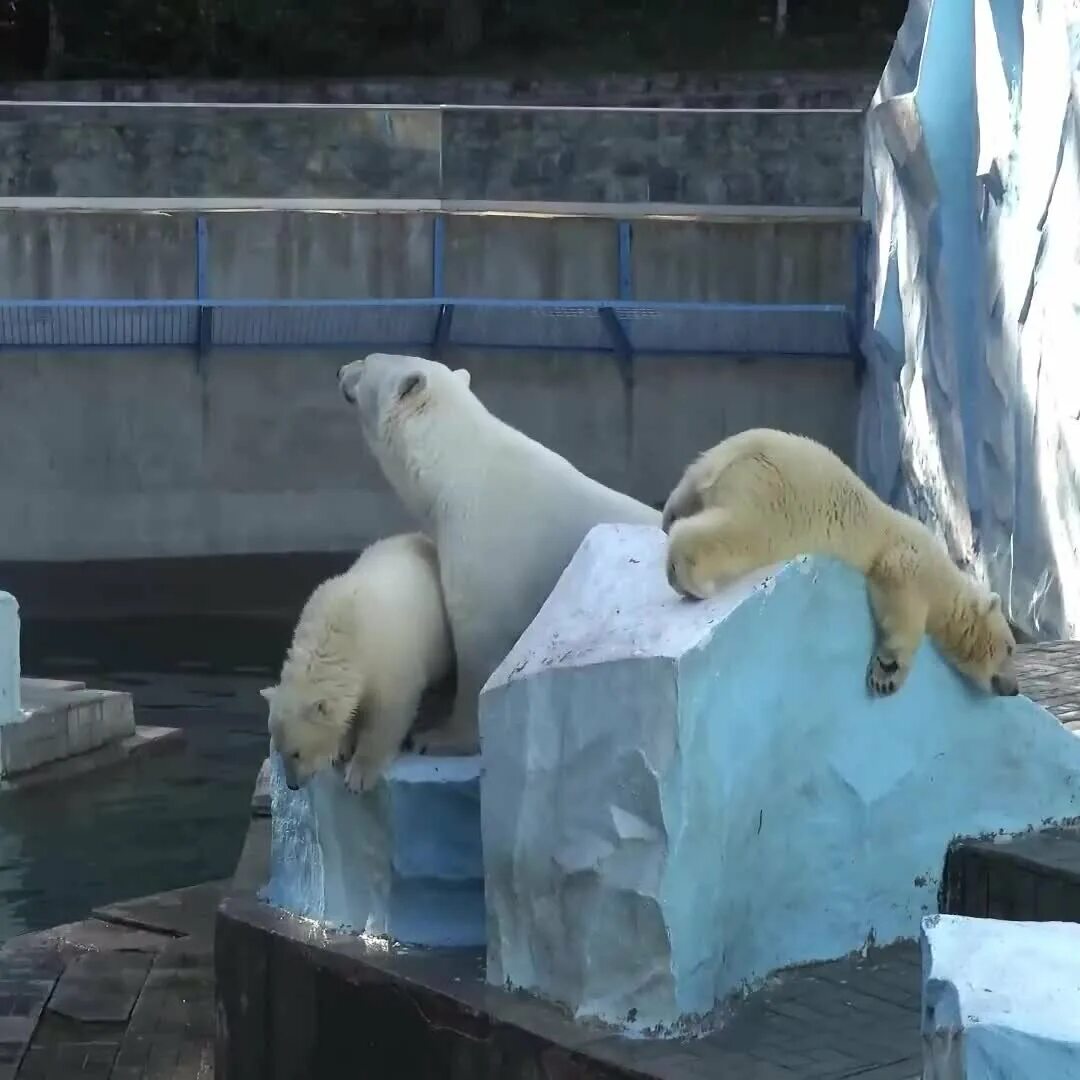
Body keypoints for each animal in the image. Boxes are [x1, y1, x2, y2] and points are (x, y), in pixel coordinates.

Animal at [262, 531, 455, 794]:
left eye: (296, 753)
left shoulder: (389, 659)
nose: (292, 785)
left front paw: (359, 776)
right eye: (279, 750)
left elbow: (388, 713)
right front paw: (342, 749)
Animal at [656, 425, 1019, 695]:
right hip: (777, 500)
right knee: (743, 532)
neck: (948, 578)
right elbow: (901, 600)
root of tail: (741, 449)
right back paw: (691, 580)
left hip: (706, 469)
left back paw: (670, 518)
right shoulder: (909, 560)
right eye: (1011, 648)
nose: (1014, 688)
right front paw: (888, 672)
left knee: (684, 498)